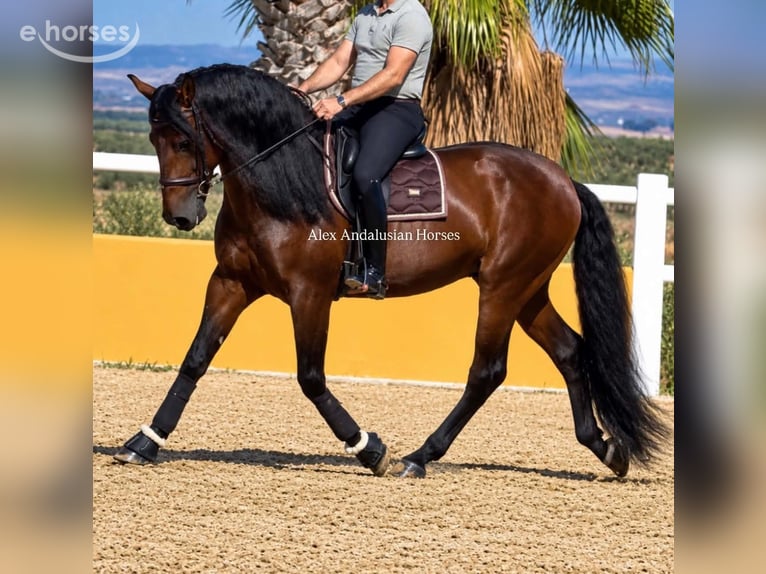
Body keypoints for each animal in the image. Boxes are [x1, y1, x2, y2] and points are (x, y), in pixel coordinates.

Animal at [114, 63, 667, 478]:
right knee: (570, 351)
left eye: (184, 141)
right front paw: (144, 441)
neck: (281, 183)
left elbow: (310, 377)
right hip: (527, 289)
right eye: (153, 138)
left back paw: (419, 457)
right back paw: (606, 448)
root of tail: (563, 180)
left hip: (502, 287)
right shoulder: (231, 282)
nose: (179, 217)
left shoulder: (309, 293)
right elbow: (195, 360)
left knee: (487, 371)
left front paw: (368, 448)